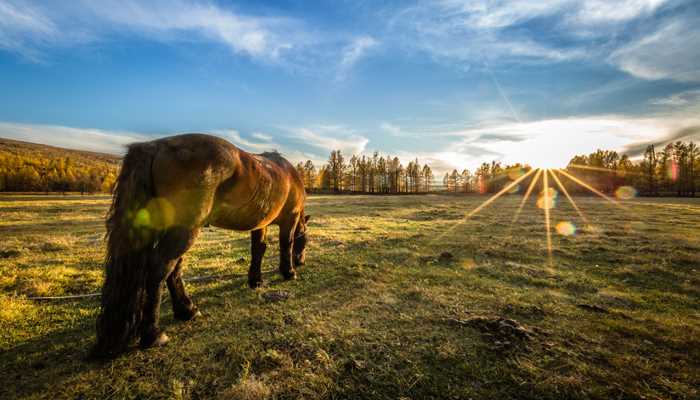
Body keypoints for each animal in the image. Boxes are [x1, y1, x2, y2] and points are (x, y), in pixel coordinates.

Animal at [92, 134, 308, 356]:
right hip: (185, 230)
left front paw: (255, 280)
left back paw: (186, 310)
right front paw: (289, 272)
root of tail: (156, 146)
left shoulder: (260, 223)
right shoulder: (290, 219)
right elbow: (286, 244)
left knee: (173, 268)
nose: (301, 261)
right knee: (161, 268)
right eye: (305, 241)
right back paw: (153, 334)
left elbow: (258, 250)